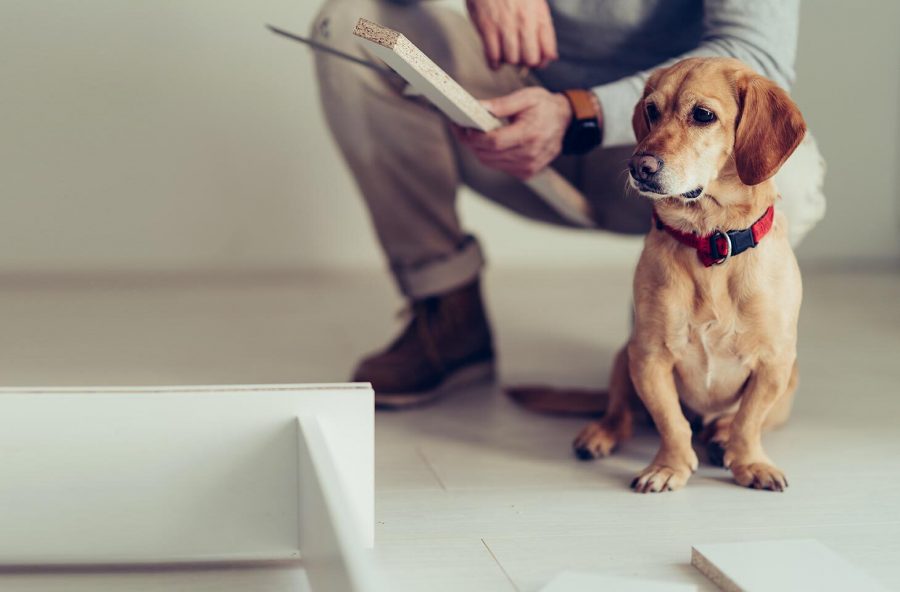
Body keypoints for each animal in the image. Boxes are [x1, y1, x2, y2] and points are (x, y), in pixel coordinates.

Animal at [572, 57, 804, 492]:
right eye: (651, 110)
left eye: (703, 115)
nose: (639, 165)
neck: (711, 241)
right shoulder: (649, 357)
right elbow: (671, 422)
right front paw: (669, 467)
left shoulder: (773, 363)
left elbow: (748, 422)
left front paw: (749, 462)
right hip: (623, 358)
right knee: (621, 413)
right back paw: (600, 434)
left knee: (731, 422)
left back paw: (719, 436)